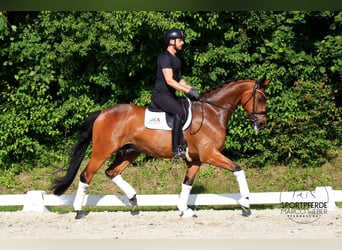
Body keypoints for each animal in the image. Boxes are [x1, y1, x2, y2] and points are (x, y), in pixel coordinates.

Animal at [52, 78, 270, 219]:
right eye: (260, 99)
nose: (261, 125)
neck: (212, 112)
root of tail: (102, 113)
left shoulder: (196, 160)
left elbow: (187, 184)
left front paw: (184, 209)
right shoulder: (210, 155)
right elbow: (238, 169)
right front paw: (245, 202)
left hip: (131, 152)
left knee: (111, 172)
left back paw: (133, 200)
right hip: (102, 151)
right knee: (86, 175)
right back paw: (79, 210)